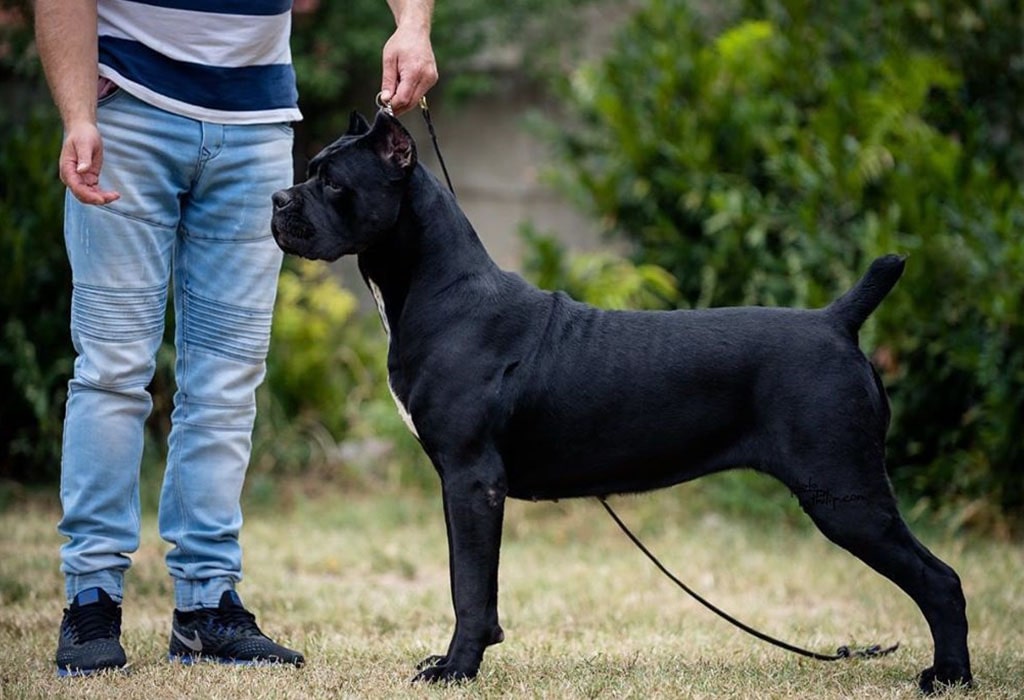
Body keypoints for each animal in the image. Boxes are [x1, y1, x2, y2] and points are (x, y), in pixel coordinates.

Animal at [268, 112, 970, 691]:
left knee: (941, 580)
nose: (277, 199)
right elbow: (468, 580)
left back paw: (949, 678)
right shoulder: (460, 485)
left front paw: (456, 670)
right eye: (309, 171)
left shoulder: (472, 480)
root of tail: (836, 320)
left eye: (332, 182)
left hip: (844, 493)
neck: (434, 287)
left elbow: (469, 585)